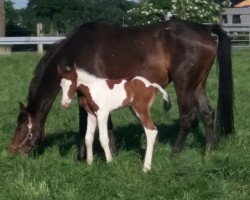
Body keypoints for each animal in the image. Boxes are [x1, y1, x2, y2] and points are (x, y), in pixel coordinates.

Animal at [8, 19, 234, 159]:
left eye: (20, 127)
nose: (11, 151)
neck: (76, 52)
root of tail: (205, 30)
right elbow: (91, 126)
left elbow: (96, 125)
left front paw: (97, 156)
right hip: (198, 85)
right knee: (207, 113)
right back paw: (209, 152)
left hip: (184, 84)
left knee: (188, 117)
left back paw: (174, 153)